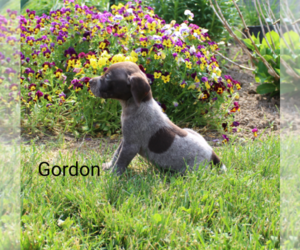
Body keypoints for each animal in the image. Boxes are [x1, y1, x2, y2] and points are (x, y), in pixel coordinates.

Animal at [90, 61, 226, 175]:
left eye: (108, 77)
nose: (90, 81)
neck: (139, 105)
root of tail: (212, 154)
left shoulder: (131, 145)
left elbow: (120, 162)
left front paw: (112, 175)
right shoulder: (126, 139)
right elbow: (116, 154)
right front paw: (109, 165)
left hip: (189, 170)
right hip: (190, 130)